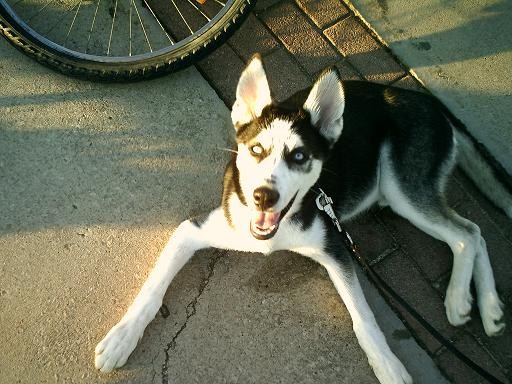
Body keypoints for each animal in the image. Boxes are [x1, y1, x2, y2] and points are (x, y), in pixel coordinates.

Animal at [95, 55, 508, 382]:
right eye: (256, 150)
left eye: (299, 156)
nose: (264, 196)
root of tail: (431, 103)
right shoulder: (193, 229)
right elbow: (152, 289)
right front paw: (122, 338)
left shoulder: (335, 248)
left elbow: (364, 320)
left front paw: (389, 366)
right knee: (476, 231)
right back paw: (490, 311)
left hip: (401, 186)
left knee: (467, 233)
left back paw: (459, 299)